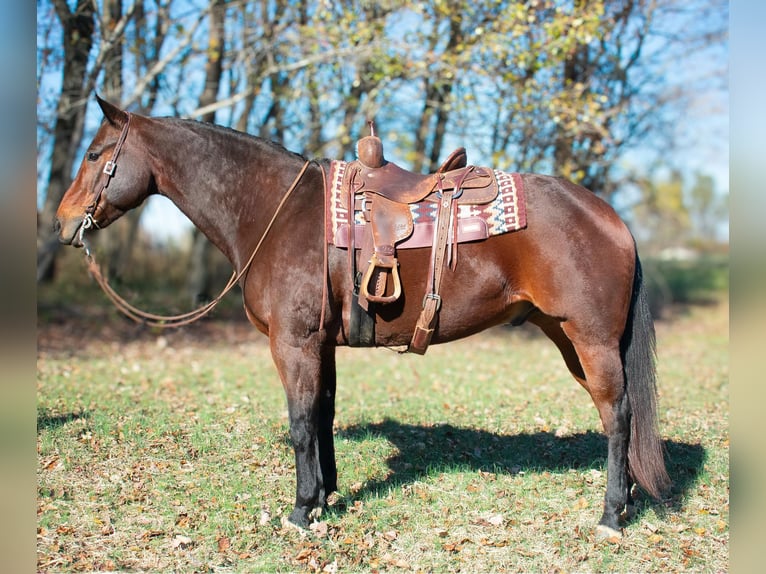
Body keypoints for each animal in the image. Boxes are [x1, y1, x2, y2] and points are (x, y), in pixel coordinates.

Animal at [54, 97, 669, 540]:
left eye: (94, 154)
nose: (62, 223)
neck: (277, 211)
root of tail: (609, 215)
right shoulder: (321, 344)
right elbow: (323, 415)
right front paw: (325, 495)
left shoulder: (294, 343)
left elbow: (300, 422)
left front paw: (301, 510)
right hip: (569, 339)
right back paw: (627, 501)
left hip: (590, 340)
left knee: (618, 415)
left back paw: (610, 516)